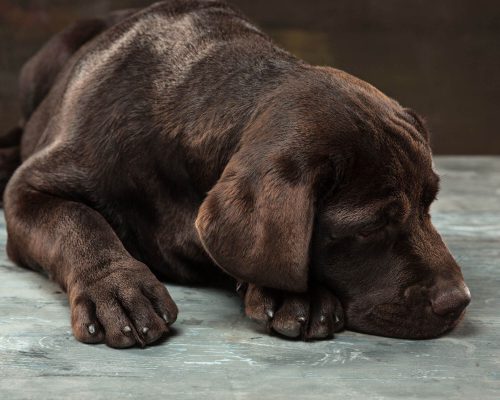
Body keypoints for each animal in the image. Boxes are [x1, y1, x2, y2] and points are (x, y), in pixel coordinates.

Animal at [0, 0, 468, 346]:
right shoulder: (31, 187)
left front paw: (295, 294)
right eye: (370, 227)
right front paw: (116, 288)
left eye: (429, 205)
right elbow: (78, 220)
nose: (458, 301)